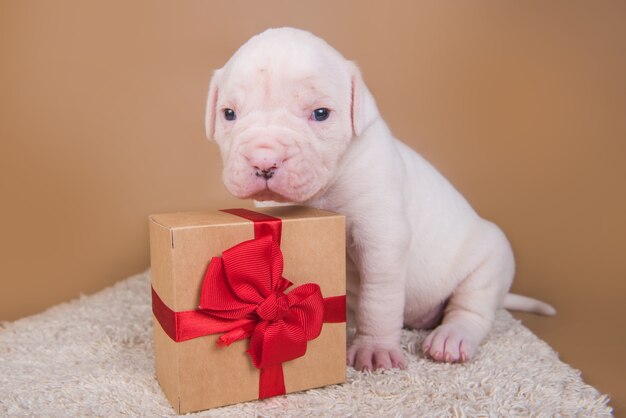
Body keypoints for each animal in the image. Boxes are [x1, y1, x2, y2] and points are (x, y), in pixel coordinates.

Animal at [202, 27, 552, 370]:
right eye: (229, 114)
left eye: (320, 113)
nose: (264, 161)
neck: (325, 189)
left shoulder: (380, 237)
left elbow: (378, 298)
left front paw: (374, 349)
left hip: (490, 261)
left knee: (471, 309)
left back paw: (452, 338)